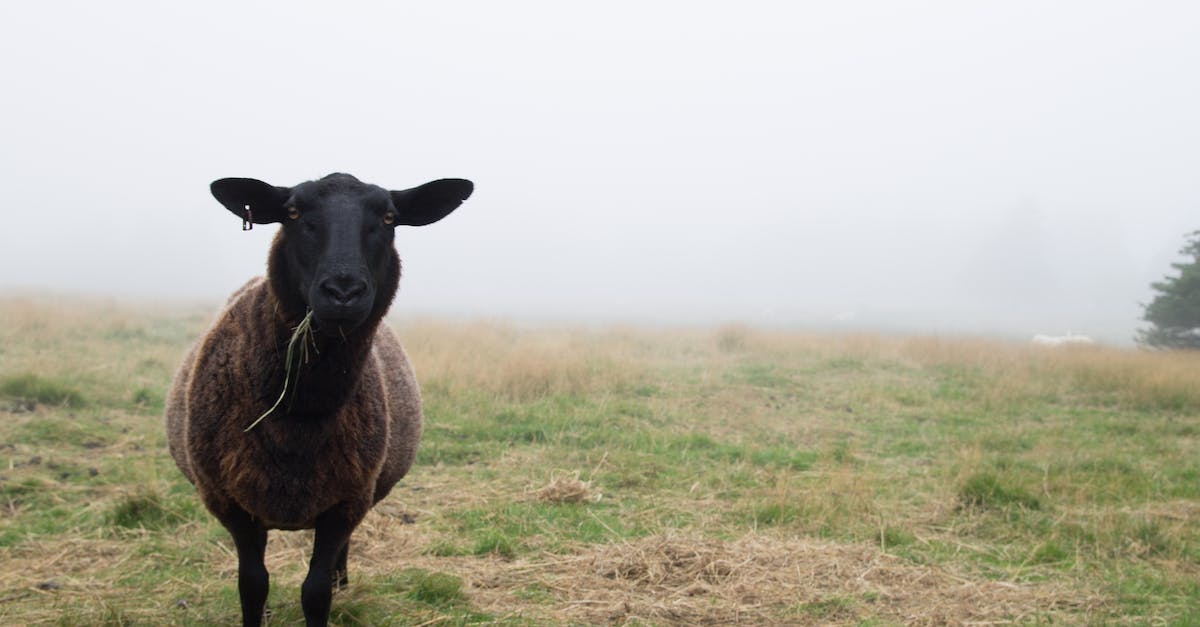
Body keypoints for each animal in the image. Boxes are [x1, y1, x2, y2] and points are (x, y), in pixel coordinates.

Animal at [166, 172, 473, 627]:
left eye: (389, 217)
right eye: (293, 212)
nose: (343, 291)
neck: (300, 415)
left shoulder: (346, 502)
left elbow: (315, 591)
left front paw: (329, 590)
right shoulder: (231, 503)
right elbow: (252, 584)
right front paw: (259, 610)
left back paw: (342, 582)